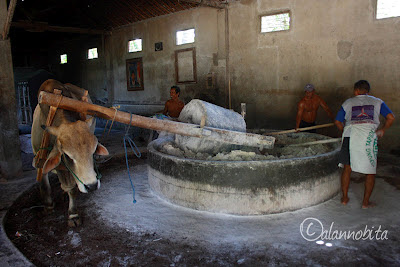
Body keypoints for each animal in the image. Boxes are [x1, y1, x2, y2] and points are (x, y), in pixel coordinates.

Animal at [31, 79, 108, 228]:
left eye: (93, 151)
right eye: (67, 155)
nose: (92, 186)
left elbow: (71, 189)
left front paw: (73, 214)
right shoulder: (40, 158)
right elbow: (44, 181)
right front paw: (48, 206)